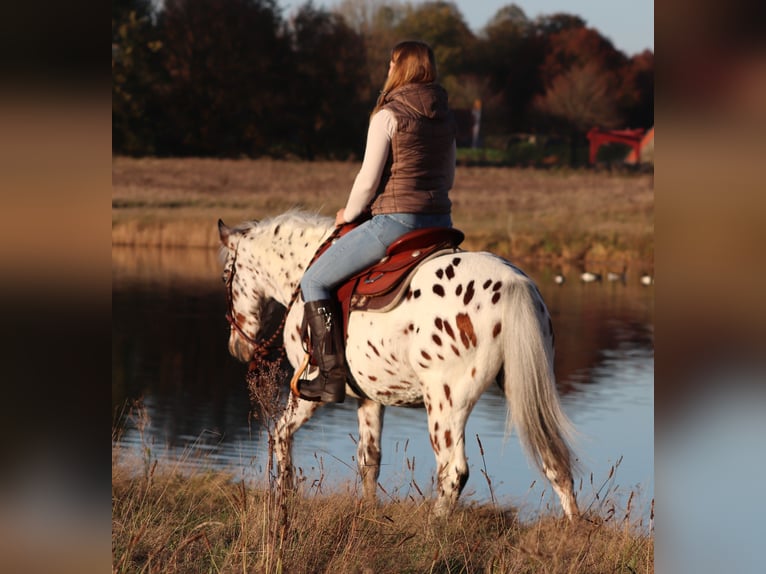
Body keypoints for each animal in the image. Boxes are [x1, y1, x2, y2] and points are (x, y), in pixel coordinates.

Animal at [219, 213, 580, 520]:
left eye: (226, 275)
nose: (236, 346)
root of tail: (512, 284)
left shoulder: (307, 391)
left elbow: (280, 434)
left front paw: (284, 497)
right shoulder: (370, 399)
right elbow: (369, 460)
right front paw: (369, 513)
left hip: (445, 403)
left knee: (452, 471)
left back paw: (434, 531)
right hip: (524, 389)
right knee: (555, 461)